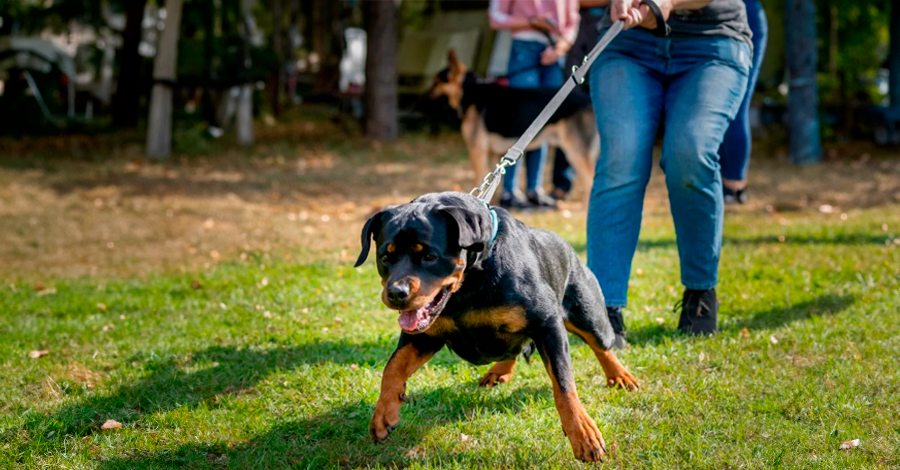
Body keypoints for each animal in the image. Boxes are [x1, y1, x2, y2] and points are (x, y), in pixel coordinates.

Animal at [356, 191, 636, 462]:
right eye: (385, 257)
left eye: (429, 256)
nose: (396, 293)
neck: (469, 284)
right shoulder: (424, 336)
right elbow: (393, 367)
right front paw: (383, 414)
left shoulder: (547, 324)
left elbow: (564, 384)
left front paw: (583, 434)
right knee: (513, 347)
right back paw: (499, 370)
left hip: (587, 312)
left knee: (602, 345)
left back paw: (620, 376)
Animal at [428, 50, 596, 200]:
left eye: (436, 82)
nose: (425, 96)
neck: (471, 91)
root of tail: (587, 97)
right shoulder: (493, 154)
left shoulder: (477, 151)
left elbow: (479, 179)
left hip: (576, 153)